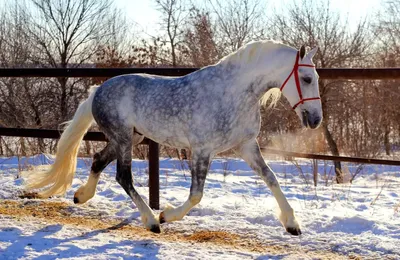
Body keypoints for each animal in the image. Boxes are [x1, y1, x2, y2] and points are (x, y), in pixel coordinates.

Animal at [22, 40, 322, 236]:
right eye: (307, 78)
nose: (316, 120)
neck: (235, 93)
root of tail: (98, 90)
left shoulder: (246, 146)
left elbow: (271, 178)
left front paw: (292, 225)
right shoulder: (202, 150)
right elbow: (196, 195)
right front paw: (167, 215)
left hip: (131, 138)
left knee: (98, 160)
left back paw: (81, 196)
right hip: (123, 138)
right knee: (123, 176)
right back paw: (151, 221)